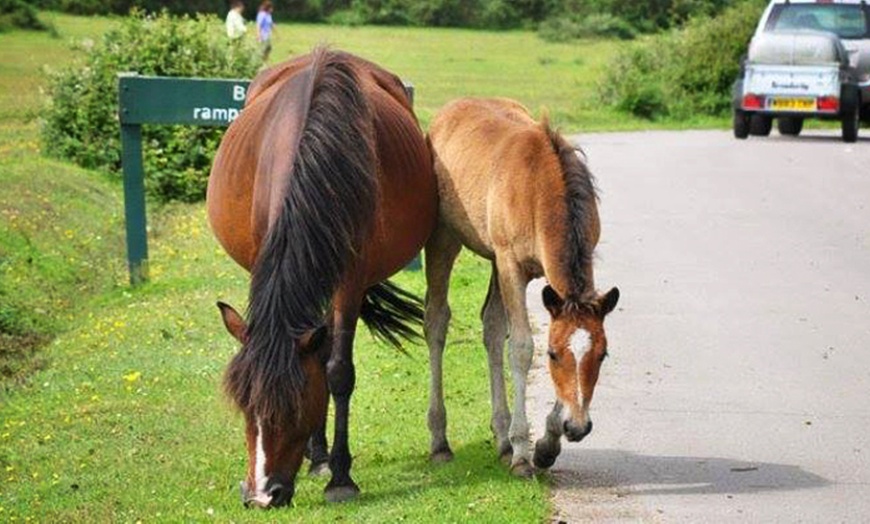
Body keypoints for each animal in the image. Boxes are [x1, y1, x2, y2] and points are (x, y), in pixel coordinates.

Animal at [208, 49, 440, 508]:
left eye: (295, 405)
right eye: (244, 404)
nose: (262, 495)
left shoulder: (349, 280)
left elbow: (336, 369)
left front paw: (341, 477)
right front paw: (323, 461)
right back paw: (316, 457)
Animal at [424, 97, 620, 474]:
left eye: (602, 355)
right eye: (553, 355)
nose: (578, 426)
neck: (541, 188)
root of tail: (446, 113)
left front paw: (547, 443)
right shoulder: (511, 266)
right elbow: (521, 347)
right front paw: (522, 452)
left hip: (492, 260)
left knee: (490, 326)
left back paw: (500, 437)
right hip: (444, 238)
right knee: (436, 322)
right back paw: (441, 441)